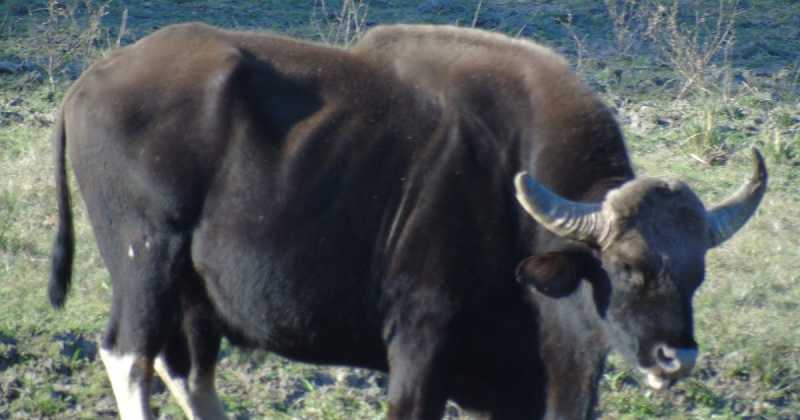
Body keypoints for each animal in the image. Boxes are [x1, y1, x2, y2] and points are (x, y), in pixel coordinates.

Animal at [49, 22, 766, 420]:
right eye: (627, 267)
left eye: (697, 275)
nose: (676, 355)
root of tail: (89, 81)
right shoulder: (421, 347)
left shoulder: (510, 389)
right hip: (145, 262)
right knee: (129, 355)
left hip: (196, 295)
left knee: (189, 370)